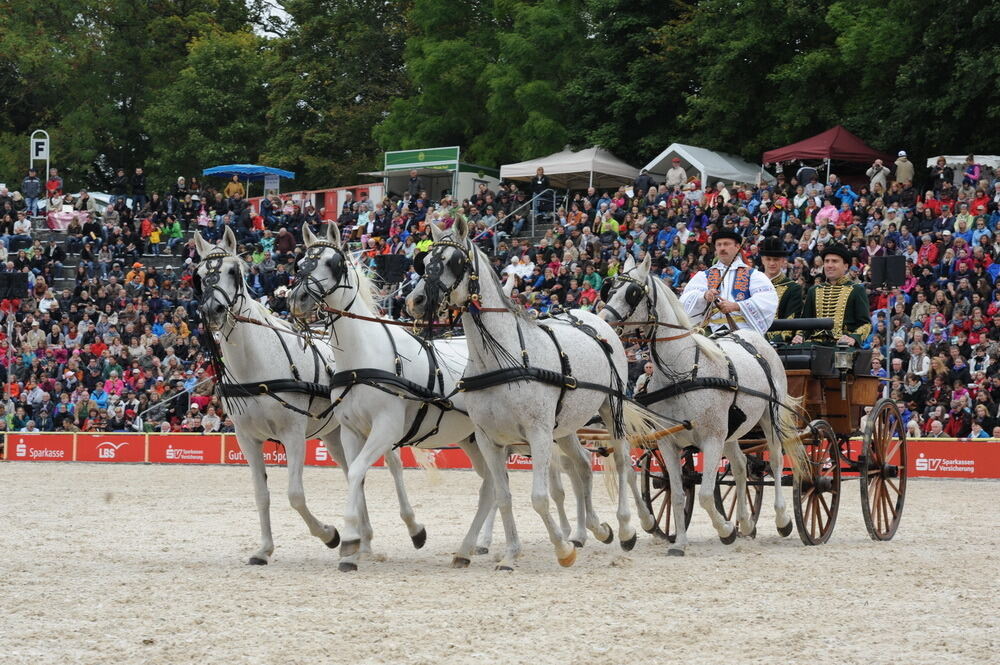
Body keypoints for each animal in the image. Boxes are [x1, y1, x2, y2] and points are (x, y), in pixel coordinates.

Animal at [194, 230, 426, 564]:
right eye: (199, 275)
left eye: (233, 271)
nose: (212, 309)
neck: (255, 365)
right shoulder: (246, 437)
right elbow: (261, 495)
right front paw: (264, 550)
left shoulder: (292, 433)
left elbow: (295, 495)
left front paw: (329, 534)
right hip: (335, 433)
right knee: (354, 473)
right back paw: (364, 541)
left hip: (377, 424)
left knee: (393, 467)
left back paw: (412, 528)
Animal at [284, 224, 608, 572]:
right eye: (301, 263)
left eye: (332, 263)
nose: (297, 299)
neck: (363, 357)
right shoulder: (351, 430)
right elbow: (356, 476)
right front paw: (356, 542)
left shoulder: (386, 428)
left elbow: (358, 472)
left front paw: (357, 539)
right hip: (478, 438)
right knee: (494, 485)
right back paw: (472, 547)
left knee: (565, 470)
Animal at [402, 215, 660, 568]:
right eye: (424, 260)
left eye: (455, 261)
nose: (415, 301)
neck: (501, 357)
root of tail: (593, 318)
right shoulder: (489, 439)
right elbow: (503, 496)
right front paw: (511, 553)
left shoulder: (538, 433)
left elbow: (539, 497)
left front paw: (562, 550)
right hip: (566, 427)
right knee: (582, 467)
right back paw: (597, 528)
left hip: (611, 408)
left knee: (623, 463)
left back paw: (625, 528)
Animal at [596, 252, 808, 552]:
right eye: (610, 289)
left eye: (633, 293)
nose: (601, 321)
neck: (683, 372)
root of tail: (749, 336)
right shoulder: (668, 442)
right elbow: (677, 494)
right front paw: (680, 543)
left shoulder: (711, 438)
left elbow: (707, 495)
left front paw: (725, 529)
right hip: (733, 431)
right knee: (741, 467)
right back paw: (746, 523)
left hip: (770, 417)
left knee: (777, 461)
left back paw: (782, 519)